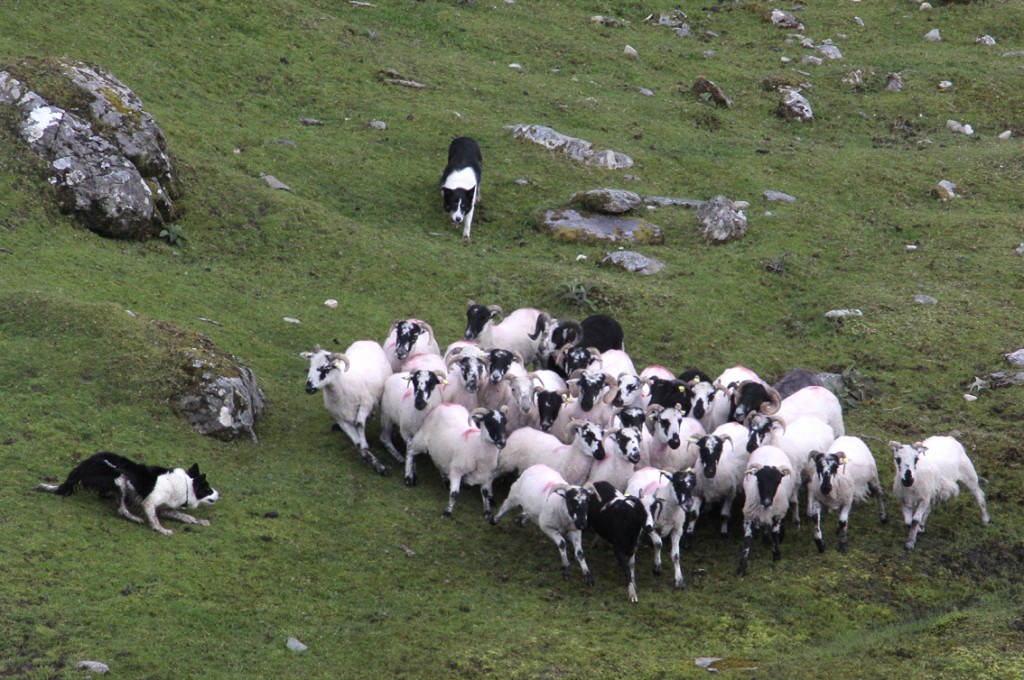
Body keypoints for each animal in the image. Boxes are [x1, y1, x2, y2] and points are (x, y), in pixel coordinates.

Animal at [36, 450, 220, 536]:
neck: (186, 485)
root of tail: (84, 464)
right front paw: (161, 529)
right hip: (119, 477)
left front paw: (200, 521)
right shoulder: (150, 502)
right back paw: (134, 517)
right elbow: (155, 519)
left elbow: (186, 516)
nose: (219, 494)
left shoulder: (165, 508)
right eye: (208, 489)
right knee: (121, 509)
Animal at [301, 342, 393, 475]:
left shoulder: (365, 404)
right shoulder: (340, 419)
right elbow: (358, 444)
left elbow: (359, 424)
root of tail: (367, 341)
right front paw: (372, 460)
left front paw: (375, 459)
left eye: (326, 368)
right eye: (310, 365)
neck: (342, 389)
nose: (308, 388)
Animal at [737, 444, 798, 577]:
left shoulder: (777, 515)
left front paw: (776, 557)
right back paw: (765, 540)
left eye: (778, 481)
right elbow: (747, 540)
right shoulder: (749, 516)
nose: (767, 502)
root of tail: (770, 446)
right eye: (759, 480)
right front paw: (741, 568)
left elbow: (775, 535)